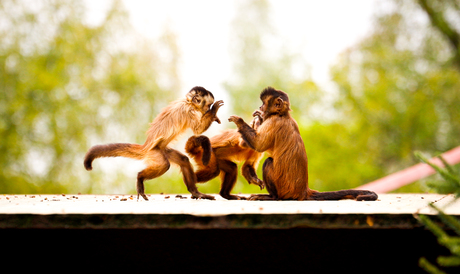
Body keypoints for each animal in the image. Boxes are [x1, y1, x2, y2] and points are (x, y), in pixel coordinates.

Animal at [86, 86, 225, 200]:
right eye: (208, 105)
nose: (207, 110)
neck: (188, 102)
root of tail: (146, 146)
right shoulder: (189, 110)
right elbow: (198, 129)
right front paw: (214, 111)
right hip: (154, 152)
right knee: (164, 165)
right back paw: (140, 178)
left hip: (162, 149)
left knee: (183, 160)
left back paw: (195, 192)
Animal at [229, 87, 378, 201]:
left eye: (264, 104)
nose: (260, 107)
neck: (283, 115)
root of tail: (303, 191)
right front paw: (257, 119)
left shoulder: (273, 121)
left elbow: (258, 145)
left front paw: (240, 121)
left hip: (284, 189)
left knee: (269, 162)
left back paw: (273, 197)